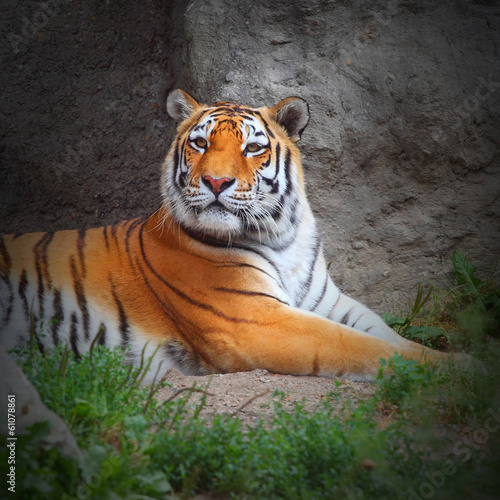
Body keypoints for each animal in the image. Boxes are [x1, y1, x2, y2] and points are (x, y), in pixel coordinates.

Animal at [0, 89, 453, 383]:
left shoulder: (328, 302)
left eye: (253, 148)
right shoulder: (255, 320)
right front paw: (459, 368)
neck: (282, 236)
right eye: (200, 143)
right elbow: (361, 346)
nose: (216, 181)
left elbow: (384, 333)